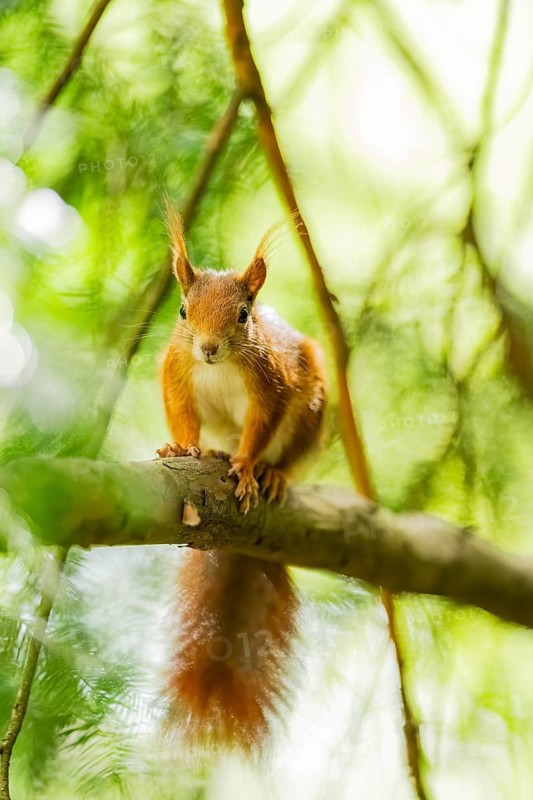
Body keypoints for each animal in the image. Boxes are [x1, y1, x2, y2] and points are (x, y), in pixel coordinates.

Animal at [156, 203, 326, 752]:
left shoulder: (271, 383)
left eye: (244, 315)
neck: (219, 367)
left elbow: (261, 428)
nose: (208, 348)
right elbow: (181, 415)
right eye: (182, 312)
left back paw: (272, 473)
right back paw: (213, 450)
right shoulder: (176, 372)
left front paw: (251, 471)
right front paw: (181, 447)